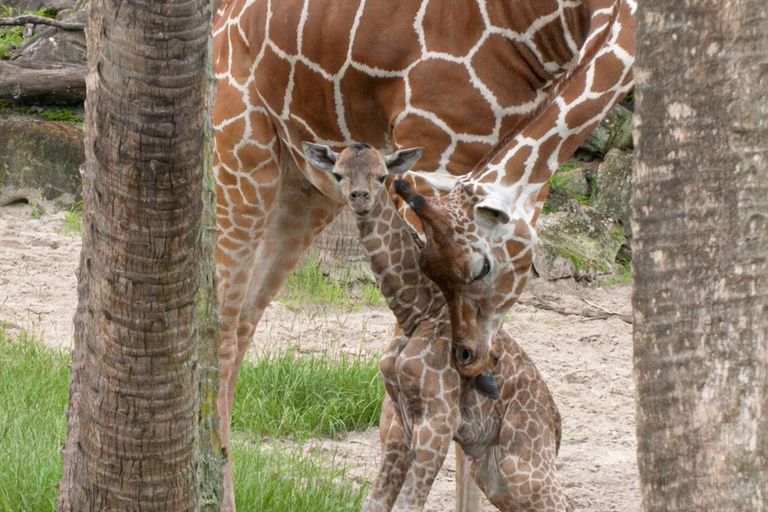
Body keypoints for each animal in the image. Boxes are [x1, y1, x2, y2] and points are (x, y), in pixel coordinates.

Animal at [304, 141, 572, 512]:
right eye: (339, 173)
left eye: (382, 176)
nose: (360, 197)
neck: (416, 311)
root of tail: (556, 422)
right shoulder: (399, 421)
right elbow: (376, 501)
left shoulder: (439, 421)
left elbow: (408, 504)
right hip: (492, 471)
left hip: (521, 463)